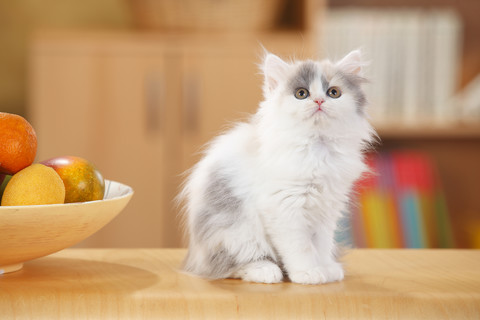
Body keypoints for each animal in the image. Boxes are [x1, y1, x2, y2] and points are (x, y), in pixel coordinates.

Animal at [179, 48, 376, 284]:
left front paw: (326, 268)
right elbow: (301, 247)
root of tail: (193, 257)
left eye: (334, 92)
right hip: (236, 232)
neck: (317, 148)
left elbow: (321, 245)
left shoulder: (326, 209)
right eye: (301, 94)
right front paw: (308, 272)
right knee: (229, 266)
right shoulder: (284, 208)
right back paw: (265, 270)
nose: (319, 101)